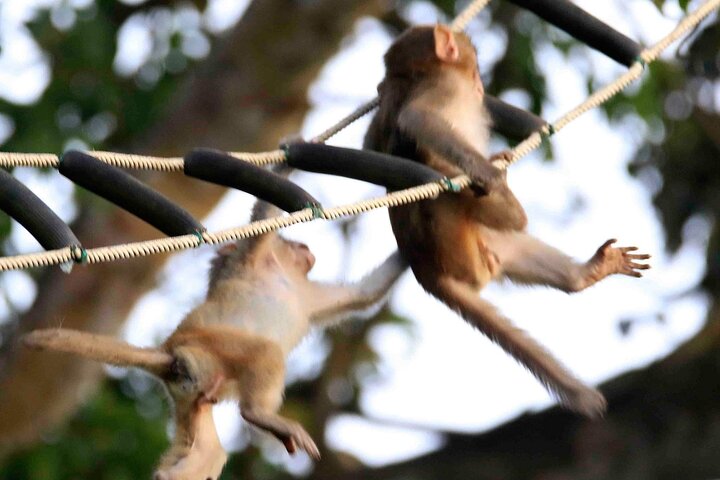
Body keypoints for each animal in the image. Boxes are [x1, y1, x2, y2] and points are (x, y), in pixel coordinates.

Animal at [23, 186, 407, 479]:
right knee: (265, 353)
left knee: (207, 450)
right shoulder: (256, 258)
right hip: (210, 346)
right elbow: (263, 218)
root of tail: (169, 351)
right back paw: (259, 415)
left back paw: (169, 474)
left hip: (194, 396)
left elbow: (365, 293)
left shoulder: (308, 295)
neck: (283, 274)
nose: (304, 248)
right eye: (289, 241)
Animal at [364, 24, 651, 418]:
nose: (480, 86)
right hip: (455, 235)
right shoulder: (444, 89)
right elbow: (419, 119)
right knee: (457, 189)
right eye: (473, 69)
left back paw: (586, 272)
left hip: (487, 247)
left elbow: (372, 140)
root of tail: (426, 269)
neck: (411, 76)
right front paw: (488, 173)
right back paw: (508, 203)